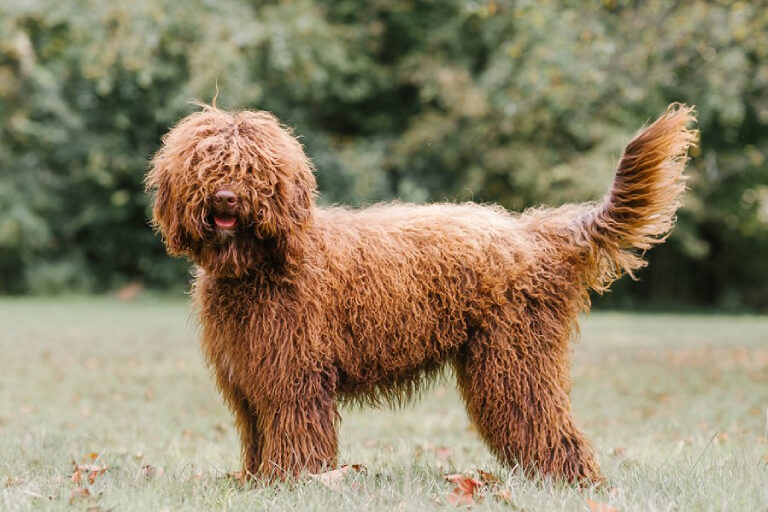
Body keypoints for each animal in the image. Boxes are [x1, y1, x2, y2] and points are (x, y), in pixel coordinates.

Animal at [144, 104, 696, 484]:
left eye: (252, 169)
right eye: (206, 165)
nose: (225, 198)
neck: (260, 266)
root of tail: (535, 234)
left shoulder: (294, 377)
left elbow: (295, 433)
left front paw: (293, 483)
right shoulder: (250, 379)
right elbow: (259, 435)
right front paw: (258, 483)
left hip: (514, 362)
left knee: (547, 424)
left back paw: (572, 483)